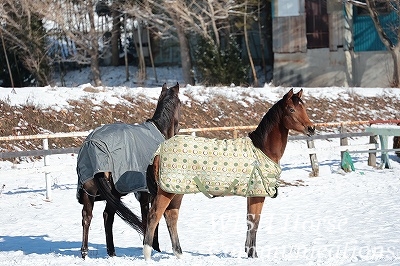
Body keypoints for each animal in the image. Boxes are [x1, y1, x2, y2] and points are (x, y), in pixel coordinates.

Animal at [75, 82, 181, 258]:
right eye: (181, 104)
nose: (178, 129)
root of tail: (92, 145)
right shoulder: (148, 193)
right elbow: (150, 219)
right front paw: (154, 247)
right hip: (113, 191)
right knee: (107, 216)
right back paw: (110, 251)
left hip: (89, 191)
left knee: (88, 217)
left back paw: (88, 252)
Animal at [144, 89, 316, 260]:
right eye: (291, 109)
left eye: (303, 107)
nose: (311, 128)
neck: (262, 148)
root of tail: (160, 149)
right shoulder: (258, 195)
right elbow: (255, 222)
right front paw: (253, 255)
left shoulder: (251, 195)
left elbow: (249, 221)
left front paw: (249, 252)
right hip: (167, 190)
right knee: (154, 216)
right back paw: (147, 255)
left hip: (177, 190)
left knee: (171, 216)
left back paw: (179, 254)